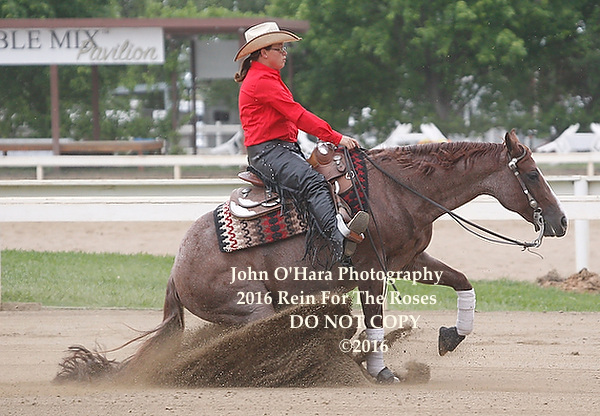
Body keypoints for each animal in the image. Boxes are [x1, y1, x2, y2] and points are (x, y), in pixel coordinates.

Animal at [125, 130, 567, 383]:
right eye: (532, 174)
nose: (560, 221)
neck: (396, 191)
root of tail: (177, 268)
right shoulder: (371, 272)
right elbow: (374, 322)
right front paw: (381, 371)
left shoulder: (408, 262)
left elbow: (461, 281)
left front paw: (451, 336)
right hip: (252, 311)